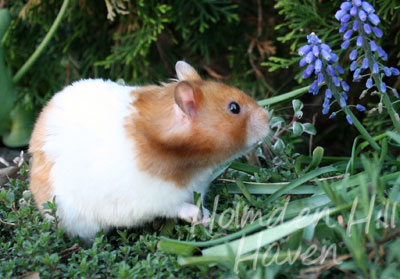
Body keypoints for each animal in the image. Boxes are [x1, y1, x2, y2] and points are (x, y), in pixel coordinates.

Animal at [28, 61, 268, 243]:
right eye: (234, 108)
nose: (269, 120)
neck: (192, 165)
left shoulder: (194, 188)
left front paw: (208, 217)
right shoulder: (158, 200)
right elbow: (182, 208)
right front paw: (199, 218)